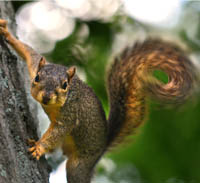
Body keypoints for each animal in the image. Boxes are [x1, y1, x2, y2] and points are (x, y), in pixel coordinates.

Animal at [0, 19, 197, 183]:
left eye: (64, 85)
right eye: (37, 78)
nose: (46, 97)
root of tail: (103, 144)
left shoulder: (69, 116)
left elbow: (57, 132)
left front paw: (39, 147)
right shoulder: (35, 66)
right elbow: (29, 53)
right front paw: (7, 33)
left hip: (80, 164)